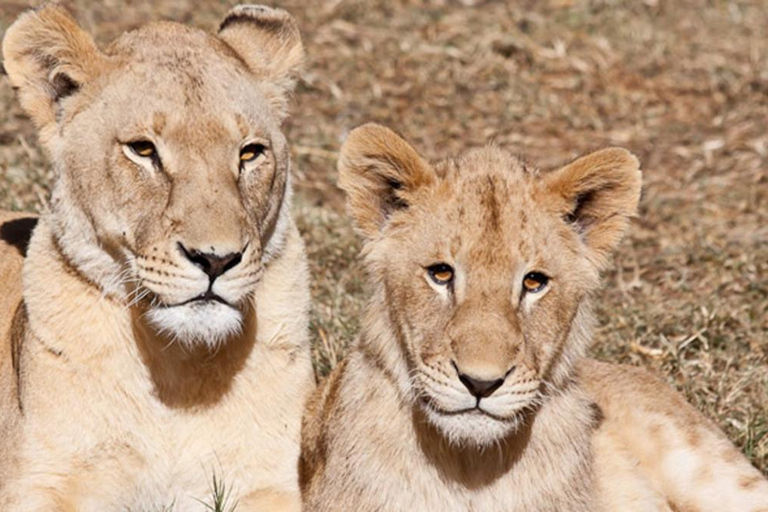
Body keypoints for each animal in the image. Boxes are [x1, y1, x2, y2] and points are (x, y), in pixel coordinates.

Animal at [0, 5, 316, 512]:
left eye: (250, 153)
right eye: (143, 149)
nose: (216, 260)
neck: (178, 373)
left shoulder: (273, 481)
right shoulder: (41, 482)